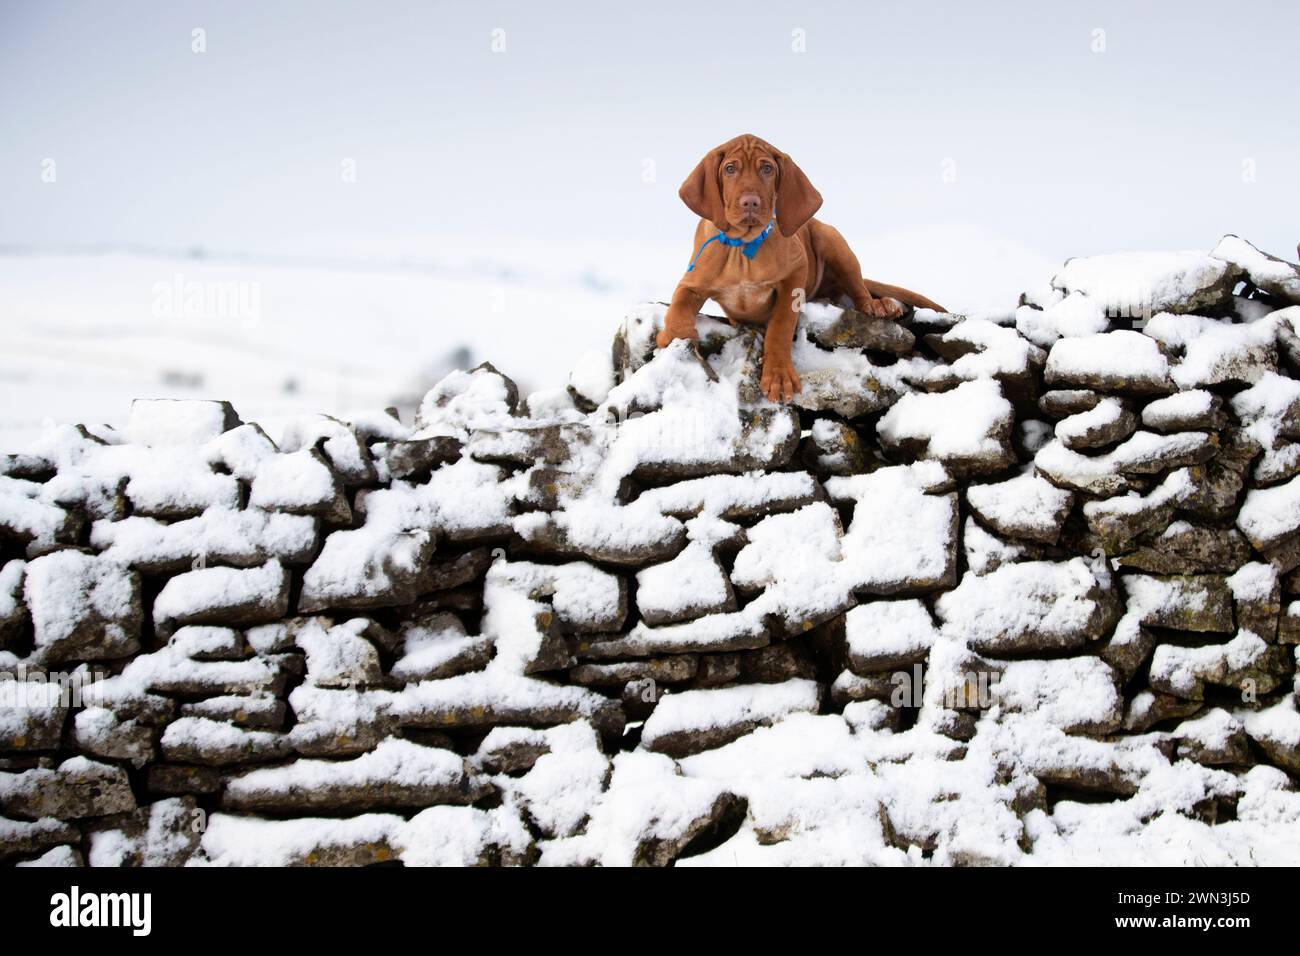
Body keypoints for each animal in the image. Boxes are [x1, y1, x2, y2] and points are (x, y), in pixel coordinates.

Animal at [660, 132, 946, 403]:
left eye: (767, 169)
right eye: (730, 169)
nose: (751, 202)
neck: (744, 247)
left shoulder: (795, 275)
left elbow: (780, 326)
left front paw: (778, 375)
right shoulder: (691, 283)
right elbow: (678, 307)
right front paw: (674, 338)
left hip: (832, 240)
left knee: (859, 288)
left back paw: (879, 305)